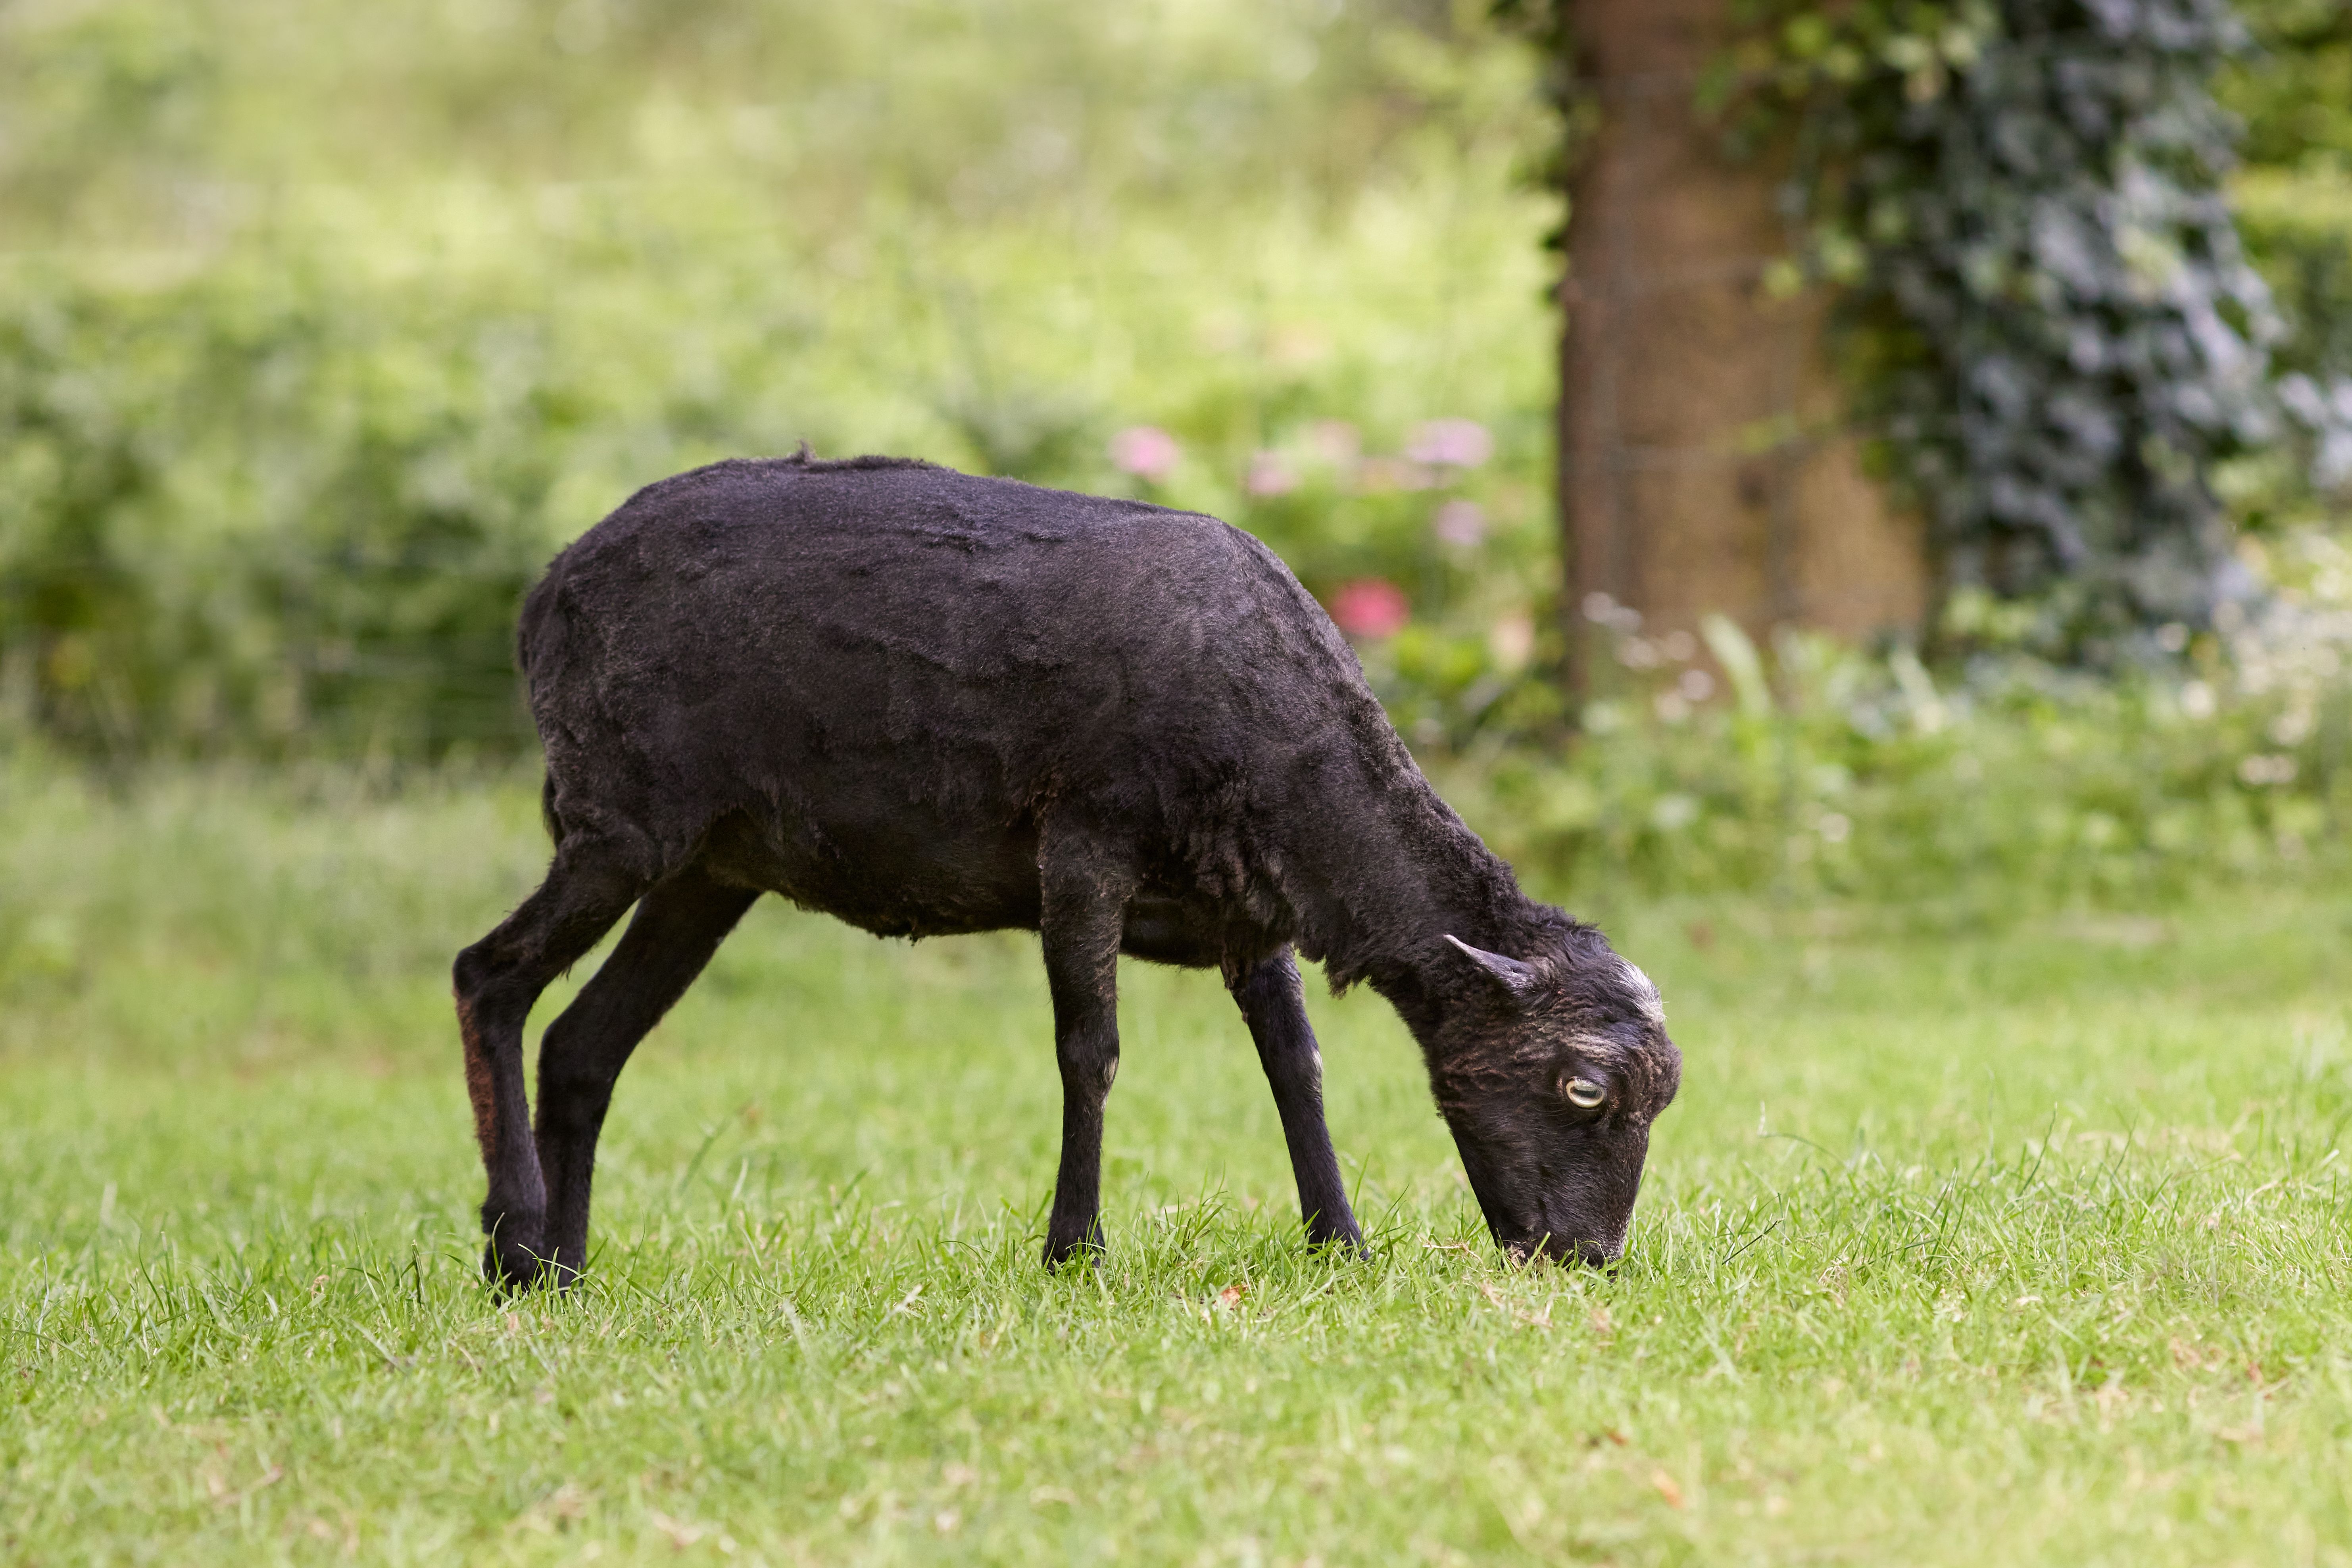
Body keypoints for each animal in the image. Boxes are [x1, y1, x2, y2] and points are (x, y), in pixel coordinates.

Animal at [453, 453, 1681, 1288]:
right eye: (1582, 1088)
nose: (1589, 1259)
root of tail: (547, 589)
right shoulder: (1085, 845)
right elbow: (1091, 1052)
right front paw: (1074, 1250)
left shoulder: (1248, 910)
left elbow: (1298, 1065)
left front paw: (1340, 1240)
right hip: (621, 818)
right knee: (488, 976)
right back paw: (511, 1247)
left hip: (712, 865)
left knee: (582, 1045)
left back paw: (565, 1270)